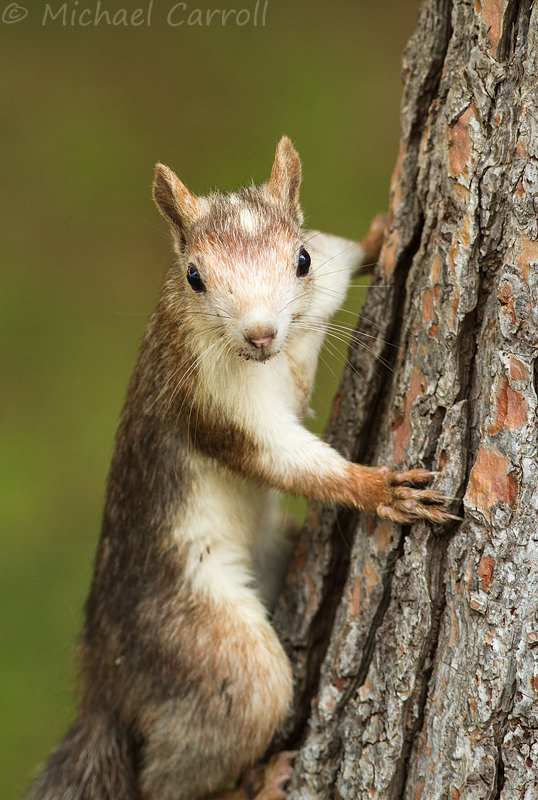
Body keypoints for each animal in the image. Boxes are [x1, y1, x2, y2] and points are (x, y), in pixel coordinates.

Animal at [27, 138, 450, 800]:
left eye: (301, 258)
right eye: (195, 277)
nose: (260, 333)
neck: (273, 354)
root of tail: (108, 686)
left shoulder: (322, 280)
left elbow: (346, 256)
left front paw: (384, 234)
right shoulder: (216, 403)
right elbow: (283, 458)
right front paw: (378, 488)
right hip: (213, 655)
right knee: (175, 773)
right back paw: (254, 783)